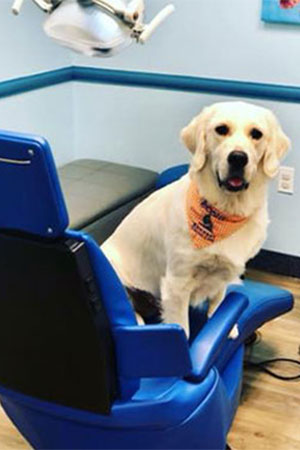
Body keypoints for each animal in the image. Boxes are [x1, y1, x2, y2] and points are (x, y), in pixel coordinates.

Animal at [102, 102, 290, 338]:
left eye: (256, 133)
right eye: (221, 129)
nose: (238, 157)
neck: (226, 210)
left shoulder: (223, 273)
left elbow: (218, 300)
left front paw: (226, 326)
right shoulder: (176, 284)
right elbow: (182, 327)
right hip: (115, 274)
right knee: (125, 308)